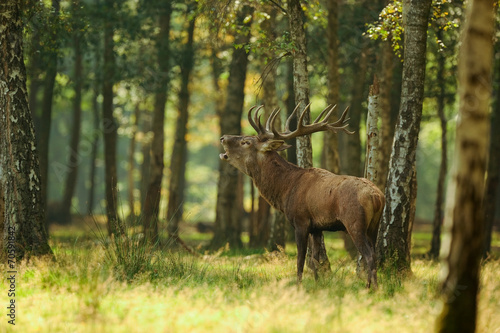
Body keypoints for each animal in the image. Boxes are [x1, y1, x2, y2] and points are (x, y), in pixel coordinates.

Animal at [219, 104, 386, 288]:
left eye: (246, 142)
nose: (223, 137)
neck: (285, 190)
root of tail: (377, 197)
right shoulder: (317, 227)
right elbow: (314, 260)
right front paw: (317, 283)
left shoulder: (300, 221)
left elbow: (300, 259)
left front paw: (298, 285)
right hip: (374, 225)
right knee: (374, 253)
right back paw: (371, 286)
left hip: (354, 222)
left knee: (369, 255)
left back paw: (372, 288)